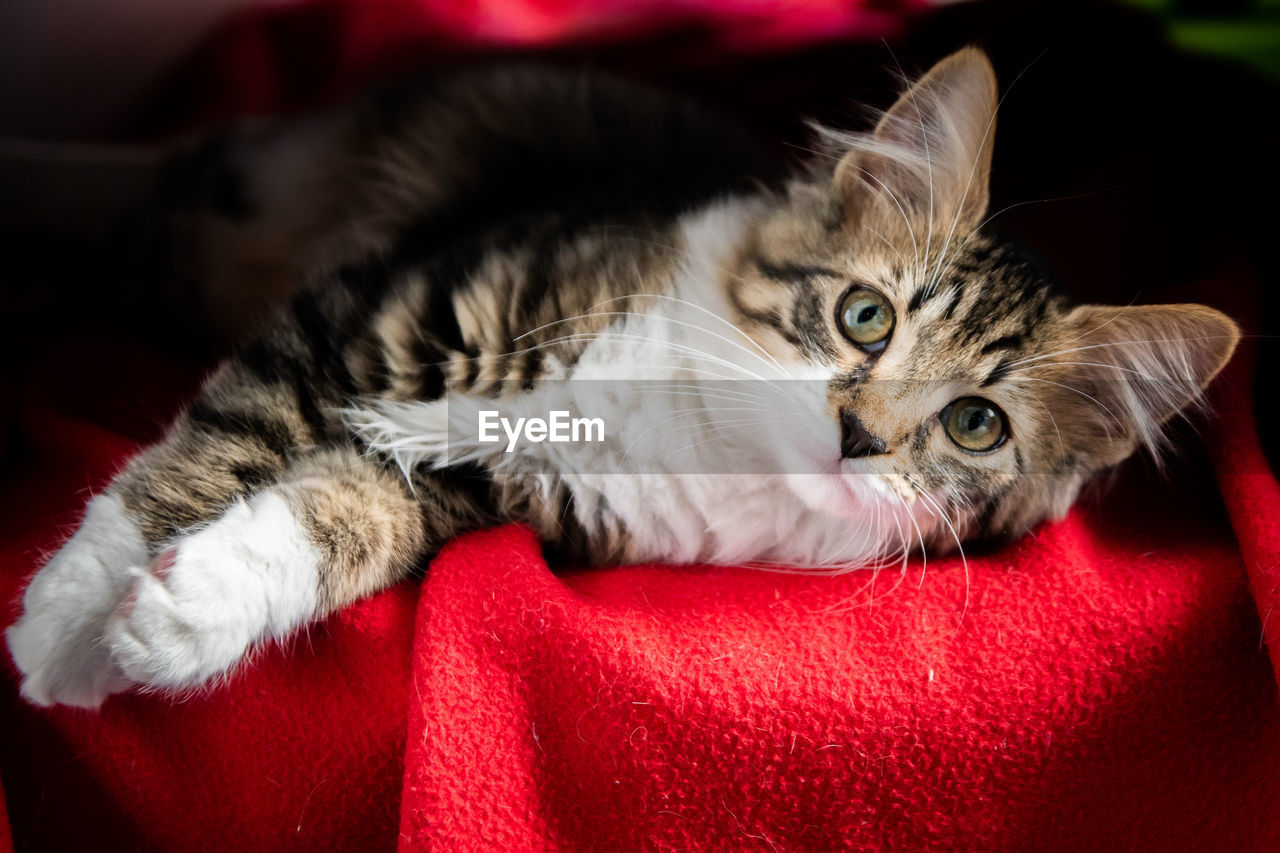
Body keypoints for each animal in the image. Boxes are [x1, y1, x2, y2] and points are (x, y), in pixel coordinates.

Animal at [2, 49, 1239, 706]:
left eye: (974, 424)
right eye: (865, 316)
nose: (856, 437)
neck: (701, 433)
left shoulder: (481, 484)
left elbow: (338, 522)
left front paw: (177, 619)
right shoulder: (383, 307)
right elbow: (195, 455)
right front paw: (62, 626)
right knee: (157, 179)